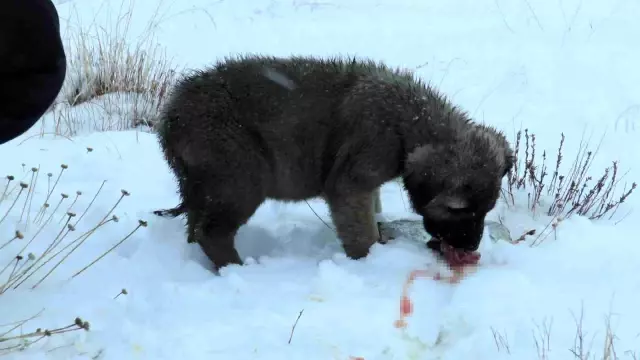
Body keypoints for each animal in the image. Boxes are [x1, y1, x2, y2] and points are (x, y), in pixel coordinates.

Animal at [152, 54, 512, 270]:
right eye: (458, 209)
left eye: (486, 210)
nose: (471, 248)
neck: (408, 122)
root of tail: (170, 118)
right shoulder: (351, 181)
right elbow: (359, 230)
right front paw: (369, 261)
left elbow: (373, 210)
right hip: (238, 177)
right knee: (211, 232)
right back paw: (237, 268)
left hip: (204, 184)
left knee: (195, 227)